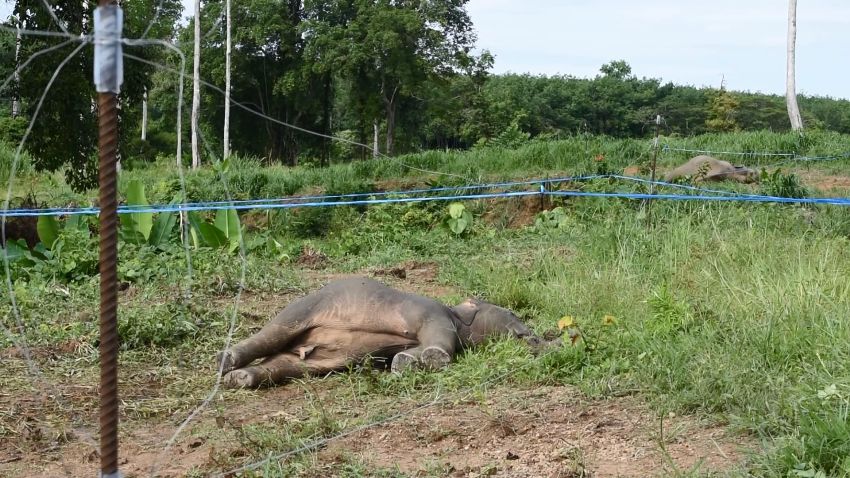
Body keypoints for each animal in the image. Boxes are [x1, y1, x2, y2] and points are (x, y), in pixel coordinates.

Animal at [215, 276, 552, 388]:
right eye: (511, 312)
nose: (535, 336)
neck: (456, 311)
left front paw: (404, 362)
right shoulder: (433, 312)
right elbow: (440, 338)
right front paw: (433, 357)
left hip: (315, 361)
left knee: (283, 365)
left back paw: (239, 379)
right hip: (302, 309)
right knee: (271, 334)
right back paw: (225, 362)